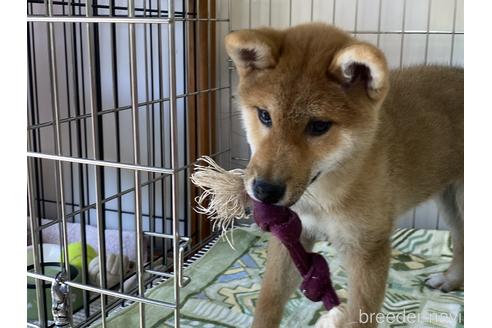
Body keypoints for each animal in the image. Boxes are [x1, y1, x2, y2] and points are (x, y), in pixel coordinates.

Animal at [225, 23, 464, 328]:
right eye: (265, 116)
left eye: (319, 126)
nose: (265, 191)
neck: (322, 197)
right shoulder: (294, 236)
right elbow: (269, 302)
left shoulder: (367, 248)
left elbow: (360, 316)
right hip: (450, 202)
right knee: (461, 241)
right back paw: (451, 280)